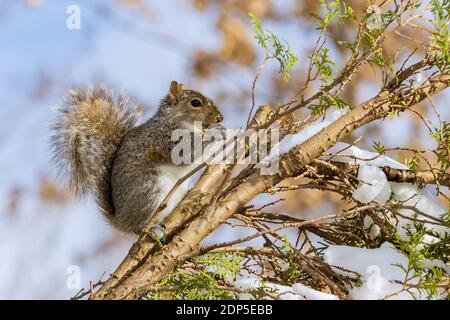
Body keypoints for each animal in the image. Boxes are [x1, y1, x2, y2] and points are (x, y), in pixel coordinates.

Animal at [51, 81, 224, 234]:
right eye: (195, 103)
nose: (220, 118)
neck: (175, 119)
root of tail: (120, 220)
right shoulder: (164, 139)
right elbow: (186, 153)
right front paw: (215, 132)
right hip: (149, 190)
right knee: (138, 226)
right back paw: (151, 229)